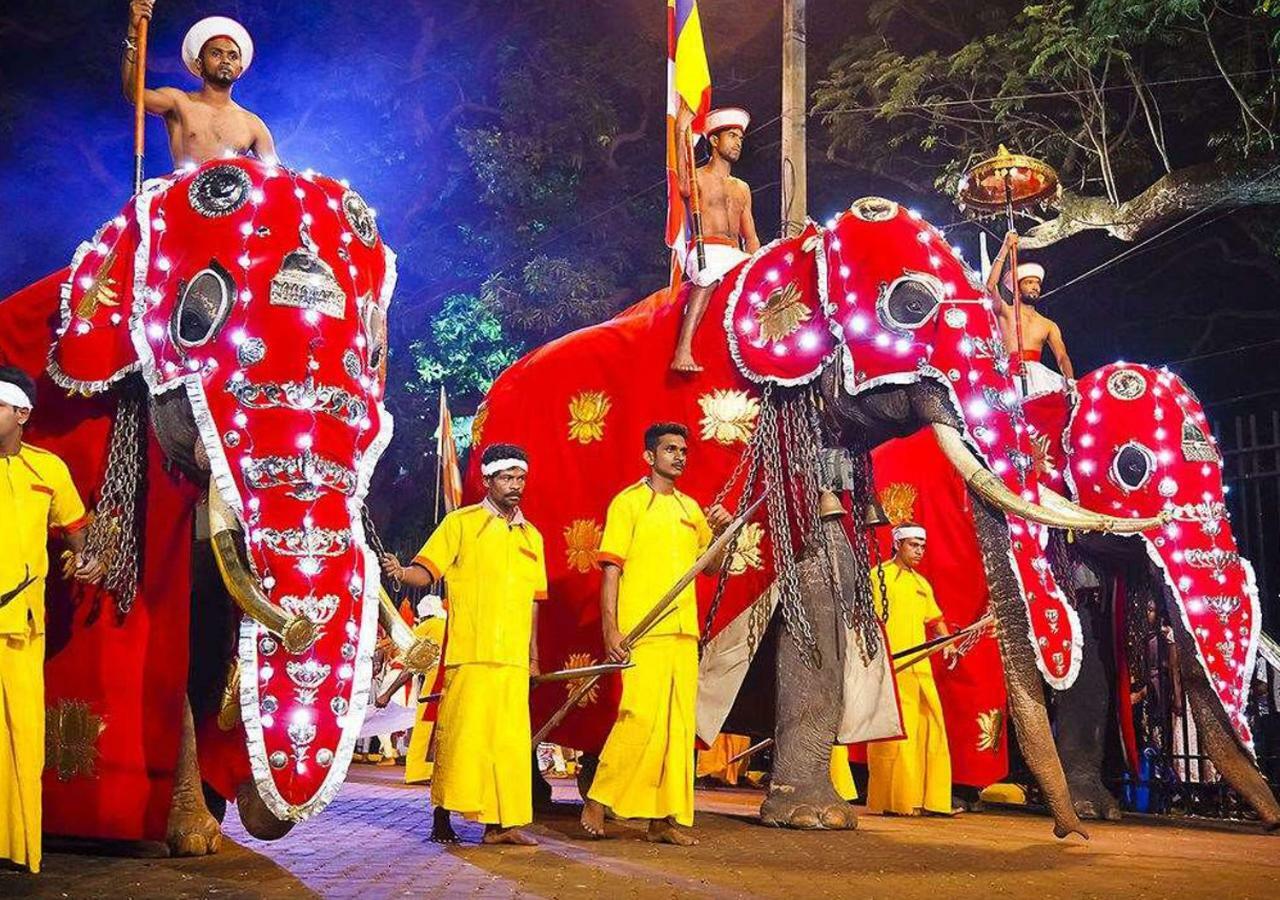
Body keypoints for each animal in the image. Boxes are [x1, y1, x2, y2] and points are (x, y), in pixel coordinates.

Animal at [0, 156, 435, 860]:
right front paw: (194, 838)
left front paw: (214, 817)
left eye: (374, 355)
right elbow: (175, 636)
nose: (300, 627)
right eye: (197, 317)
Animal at [473, 195, 1162, 839]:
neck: (792, 251)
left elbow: (827, 587)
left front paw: (815, 817)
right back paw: (542, 802)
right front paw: (814, 818)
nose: (1069, 833)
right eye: (910, 304)